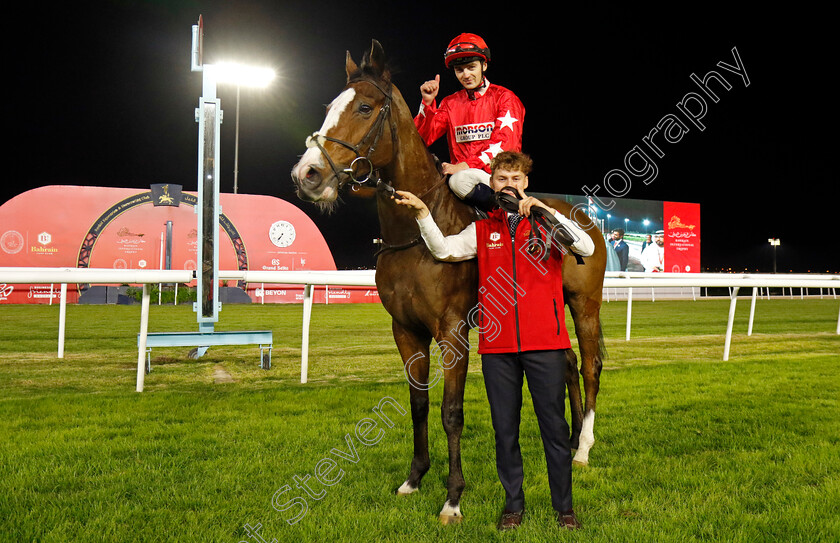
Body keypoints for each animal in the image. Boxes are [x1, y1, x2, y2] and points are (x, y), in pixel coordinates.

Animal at [288, 40, 604, 524]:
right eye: (328, 108)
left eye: (364, 107)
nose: (307, 175)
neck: (415, 235)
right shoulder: (405, 330)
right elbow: (418, 404)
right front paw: (415, 477)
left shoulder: (453, 331)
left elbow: (451, 411)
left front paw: (453, 497)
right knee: (566, 362)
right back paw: (567, 441)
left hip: (584, 303)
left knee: (589, 365)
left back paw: (584, 448)